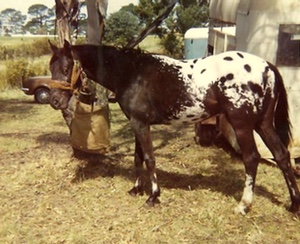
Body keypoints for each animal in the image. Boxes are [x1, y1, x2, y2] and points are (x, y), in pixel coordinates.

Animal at [48, 41, 300, 214]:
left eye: (67, 67)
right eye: (51, 68)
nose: (54, 101)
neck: (132, 72)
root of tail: (267, 66)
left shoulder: (140, 124)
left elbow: (149, 158)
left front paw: (153, 196)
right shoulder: (137, 123)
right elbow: (138, 157)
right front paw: (137, 189)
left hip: (243, 126)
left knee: (251, 158)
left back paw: (244, 205)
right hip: (263, 124)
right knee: (282, 156)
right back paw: (294, 205)